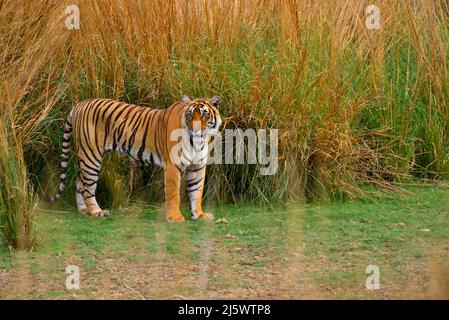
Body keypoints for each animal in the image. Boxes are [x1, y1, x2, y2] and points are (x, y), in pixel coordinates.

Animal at [49, 94, 222, 221]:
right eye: (190, 114)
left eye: (205, 115)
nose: (196, 129)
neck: (198, 141)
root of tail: (79, 104)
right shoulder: (173, 165)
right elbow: (174, 194)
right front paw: (175, 218)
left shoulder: (198, 166)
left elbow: (196, 191)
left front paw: (199, 215)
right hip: (91, 156)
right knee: (87, 187)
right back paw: (96, 211)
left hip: (87, 158)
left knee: (80, 183)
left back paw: (84, 210)